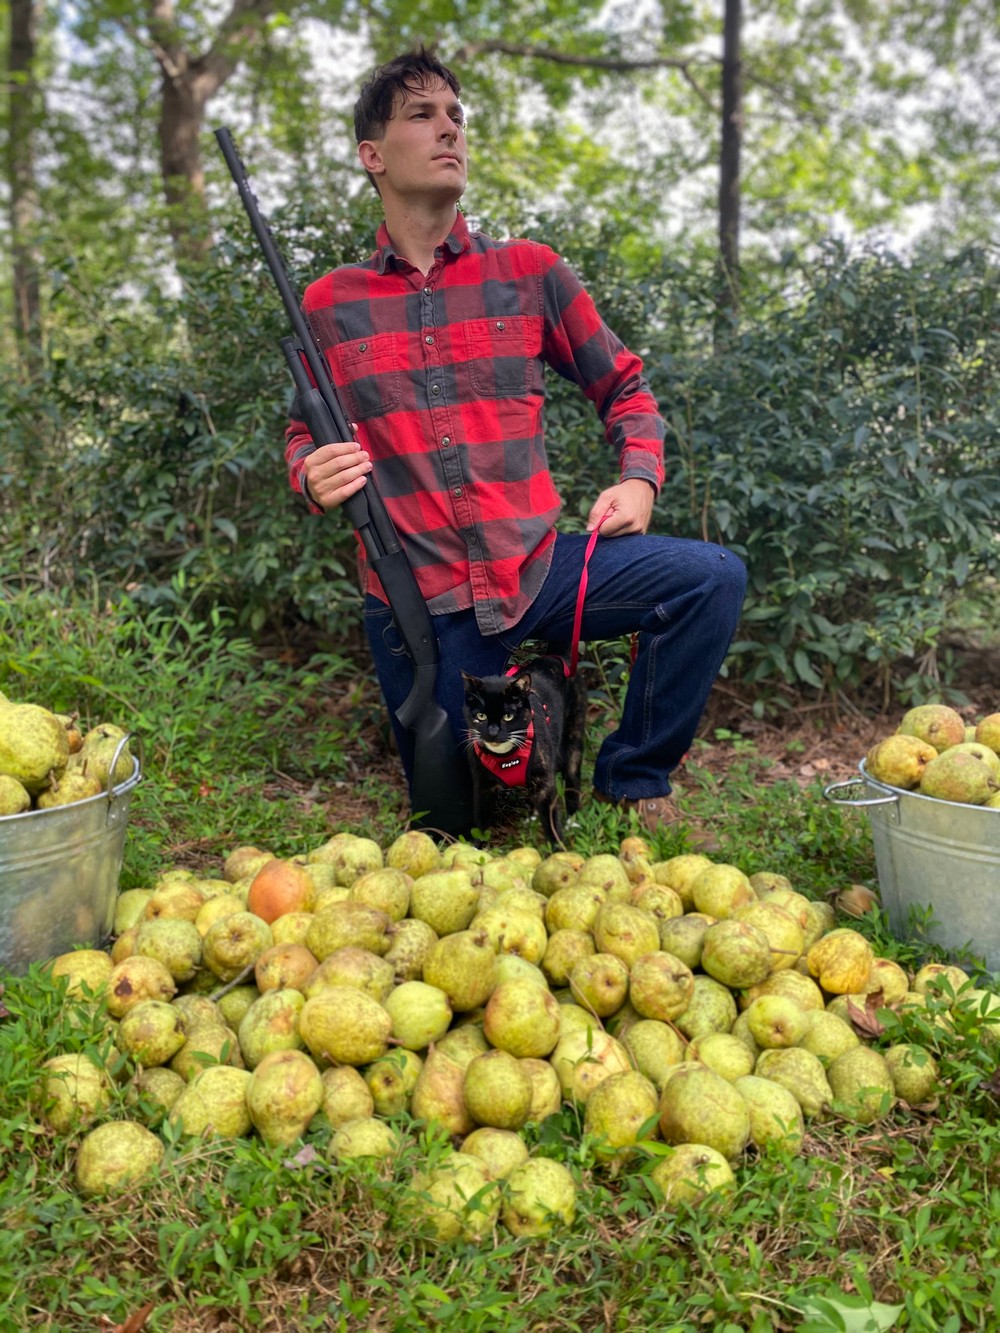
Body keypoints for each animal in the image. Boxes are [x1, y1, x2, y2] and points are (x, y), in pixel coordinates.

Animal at [461, 653, 586, 842]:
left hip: (573, 740)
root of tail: (557, 657)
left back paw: (573, 821)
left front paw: (558, 845)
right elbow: (481, 821)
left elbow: (550, 820)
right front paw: (475, 846)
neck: (505, 756)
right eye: (481, 716)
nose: (493, 732)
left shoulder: (544, 782)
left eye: (508, 716)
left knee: (572, 779)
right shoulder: (483, 785)